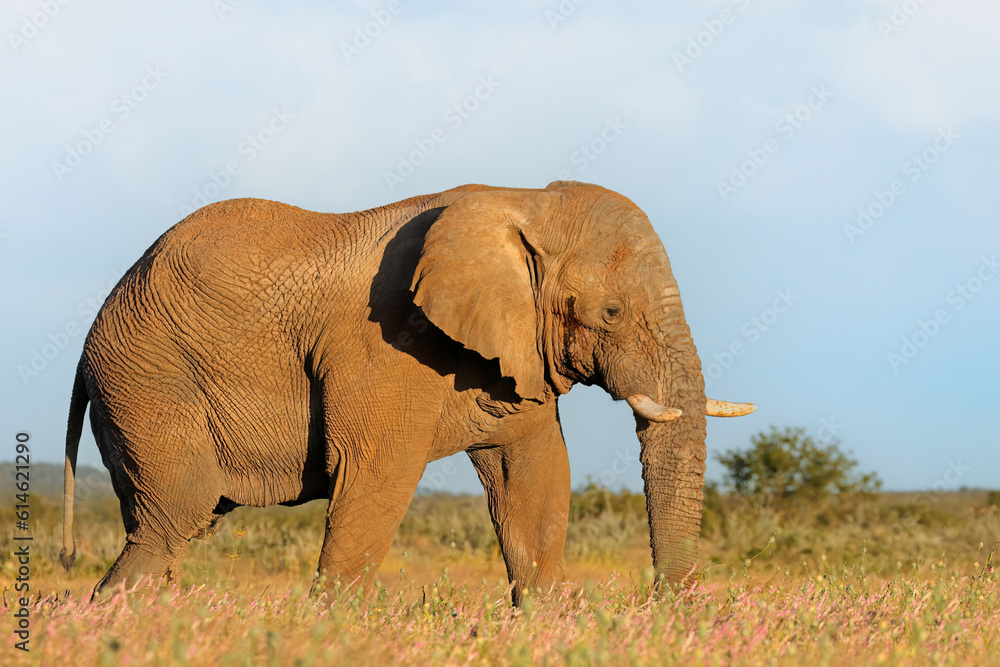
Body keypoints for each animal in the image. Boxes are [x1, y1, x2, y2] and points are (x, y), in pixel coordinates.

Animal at [59, 181, 755, 602]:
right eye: (610, 313)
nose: (663, 605)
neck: (522, 200)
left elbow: (533, 477)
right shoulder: (385, 343)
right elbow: (377, 476)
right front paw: (332, 632)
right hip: (147, 379)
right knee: (174, 515)